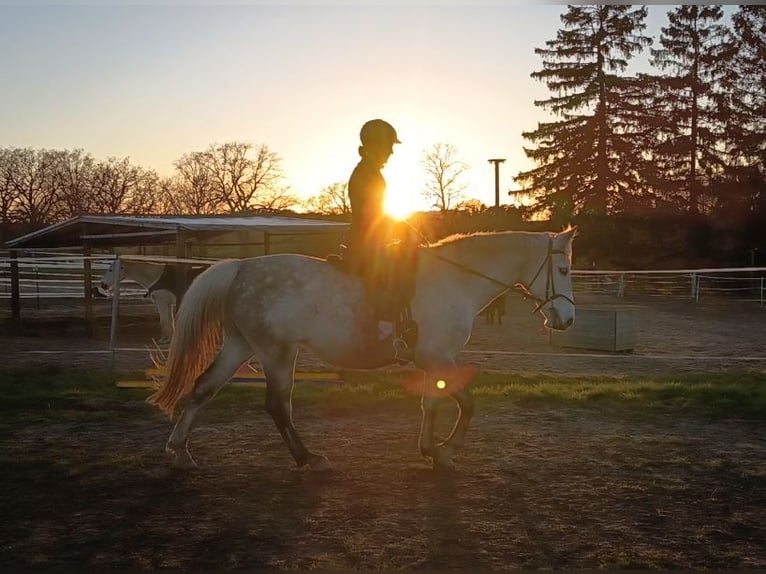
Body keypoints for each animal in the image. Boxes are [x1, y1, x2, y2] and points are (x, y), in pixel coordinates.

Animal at [148, 227, 577, 471]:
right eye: (564, 269)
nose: (568, 320)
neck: (455, 279)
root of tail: (240, 267)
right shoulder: (438, 357)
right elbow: (466, 403)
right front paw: (446, 451)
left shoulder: (434, 361)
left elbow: (432, 403)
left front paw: (429, 448)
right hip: (277, 352)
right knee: (277, 405)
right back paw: (307, 458)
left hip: (242, 346)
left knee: (203, 389)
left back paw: (179, 451)